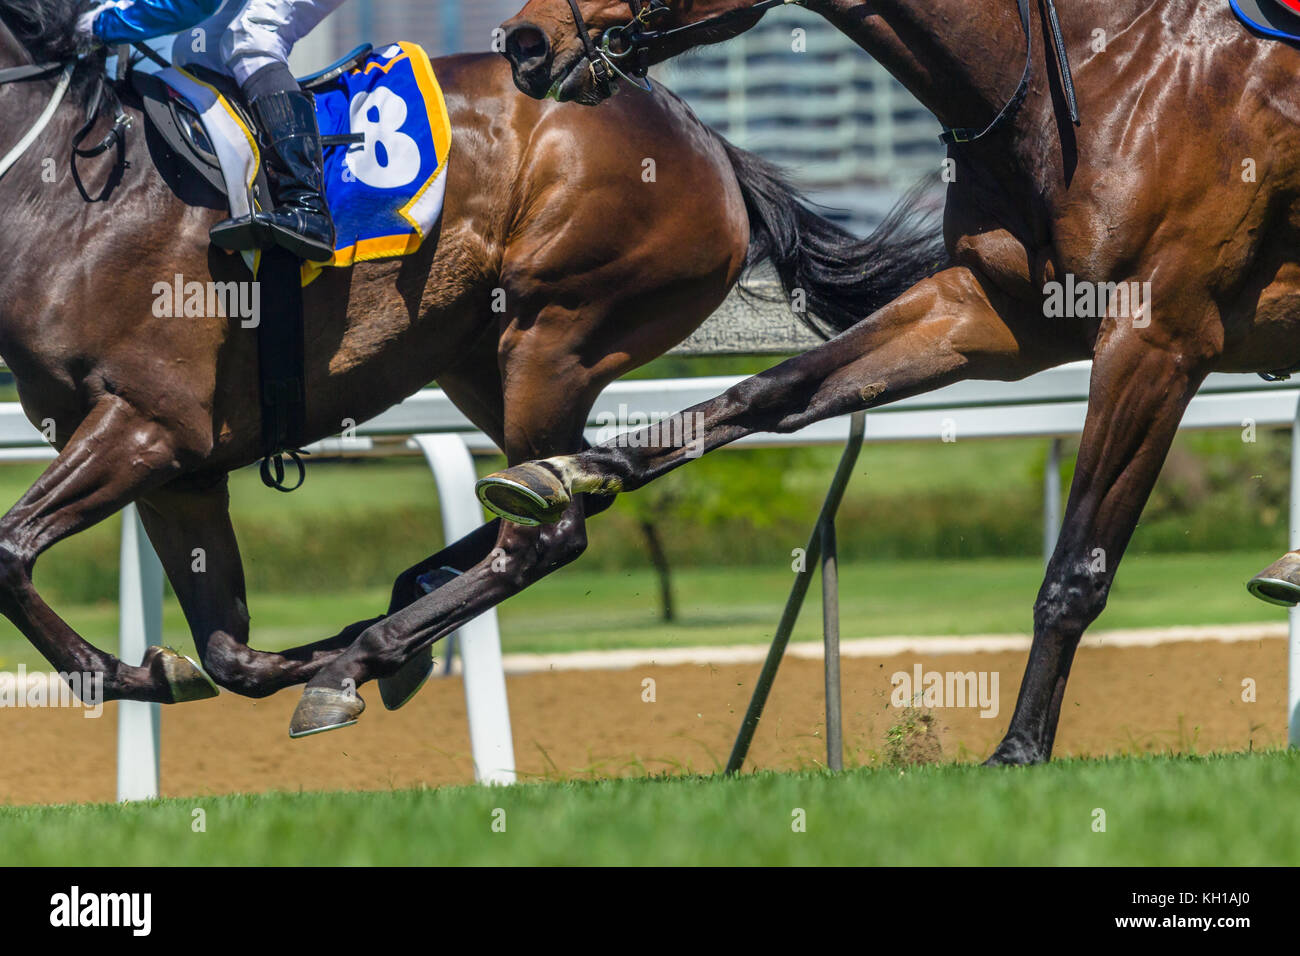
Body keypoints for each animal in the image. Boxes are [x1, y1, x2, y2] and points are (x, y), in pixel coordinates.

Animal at [0, 0, 941, 738]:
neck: (68, 200)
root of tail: (702, 134)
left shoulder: (148, 426)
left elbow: (9, 551)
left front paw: (142, 670)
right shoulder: (180, 472)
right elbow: (229, 654)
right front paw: (197, 665)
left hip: (552, 329)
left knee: (548, 529)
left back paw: (373, 647)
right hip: (481, 360)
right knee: (559, 485)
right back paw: (396, 609)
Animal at [486, 0, 1300, 764]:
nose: (523, 41)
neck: (1105, 73)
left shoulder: (1155, 341)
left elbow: (1075, 569)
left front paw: (1018, 749)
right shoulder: (994, 312)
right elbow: (773, 391)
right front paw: (571, 469)